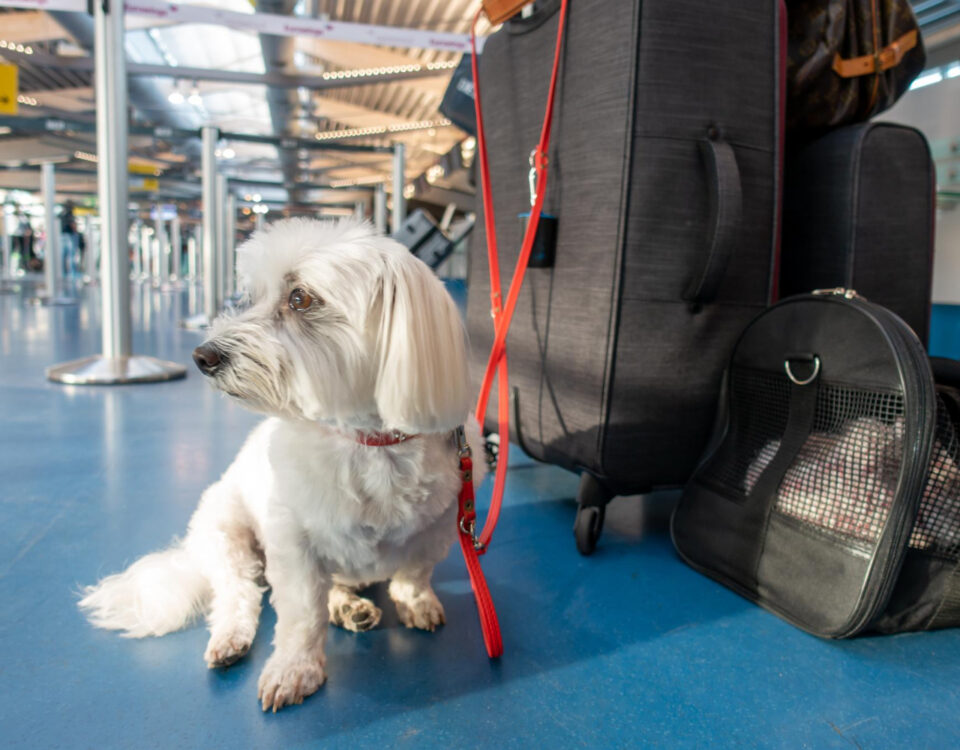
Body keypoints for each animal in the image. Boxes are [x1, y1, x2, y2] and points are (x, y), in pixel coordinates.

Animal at [76, 217, 484, 712]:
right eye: (251, 296)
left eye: (300, 298)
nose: (202, 356)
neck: (370, 444)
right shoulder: (294, 545)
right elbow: (303, 613)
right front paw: (295, 669)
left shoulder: (440, 527)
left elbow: (413, 573)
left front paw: (414, 602)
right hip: (225, 533)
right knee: (238, 593)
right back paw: (235, 636)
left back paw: (350, 606)